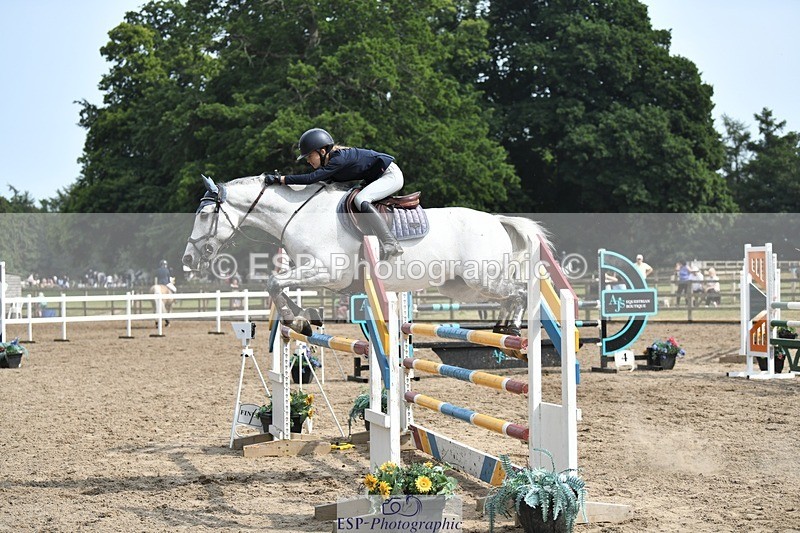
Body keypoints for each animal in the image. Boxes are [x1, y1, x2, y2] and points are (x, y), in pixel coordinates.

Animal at [182, 175, 548, 335]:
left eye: (204, 214)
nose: (188, 259)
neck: (299, 213)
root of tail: (496, 220)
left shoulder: (328, 272)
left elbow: (273, 282)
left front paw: (297, 319)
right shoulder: (313, 273)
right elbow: (278, 285)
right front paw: (304, 317)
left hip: (481, 278)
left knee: (518, 293)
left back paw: (514, 330)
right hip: (460, 287)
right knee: (508, 296)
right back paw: (502, 328)